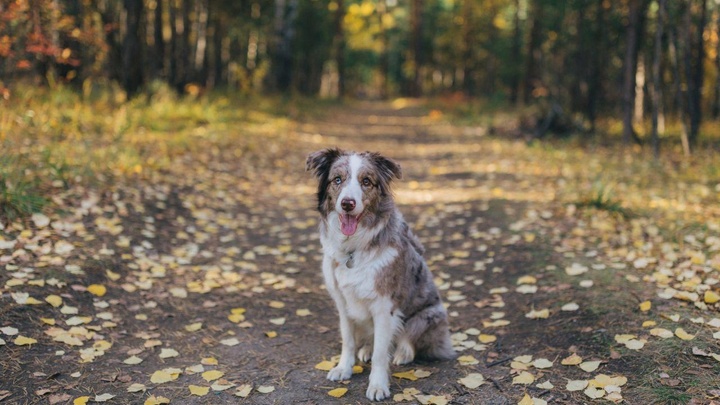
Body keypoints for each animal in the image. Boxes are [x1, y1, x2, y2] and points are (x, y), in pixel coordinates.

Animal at [306, 147, 452, 400]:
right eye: (337, 180)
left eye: (366, 181)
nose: (347, 203)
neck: (353, 250)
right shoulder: (342, 303)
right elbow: (348, 340)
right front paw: (344, 368)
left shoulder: (384, 307)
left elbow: (381, 353)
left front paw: (377, 385)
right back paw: (366, 349)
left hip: (427, 316)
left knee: (408, 341)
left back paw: (402, 354)